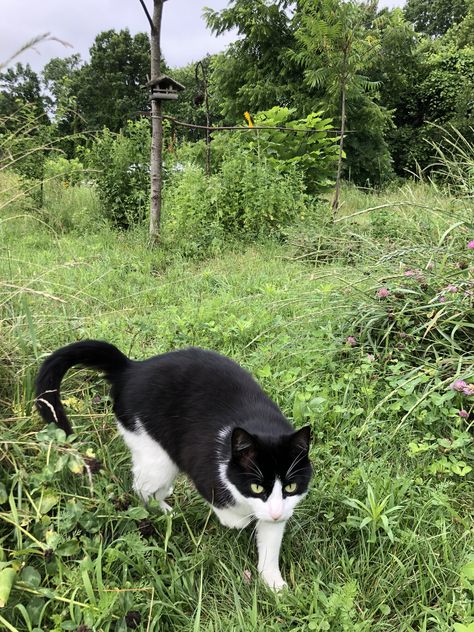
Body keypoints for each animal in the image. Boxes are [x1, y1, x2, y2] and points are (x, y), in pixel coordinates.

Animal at [35, 344, 312, 592]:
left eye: (290, 487)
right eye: (256, 487)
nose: (275, 513)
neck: (261, 427)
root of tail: (132, 368)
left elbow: (270, 542)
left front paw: (273, 583)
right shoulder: (201, 465)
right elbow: (227, 509)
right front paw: (238, 520)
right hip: (156, 453)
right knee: (141, 485)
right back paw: (161, 511)